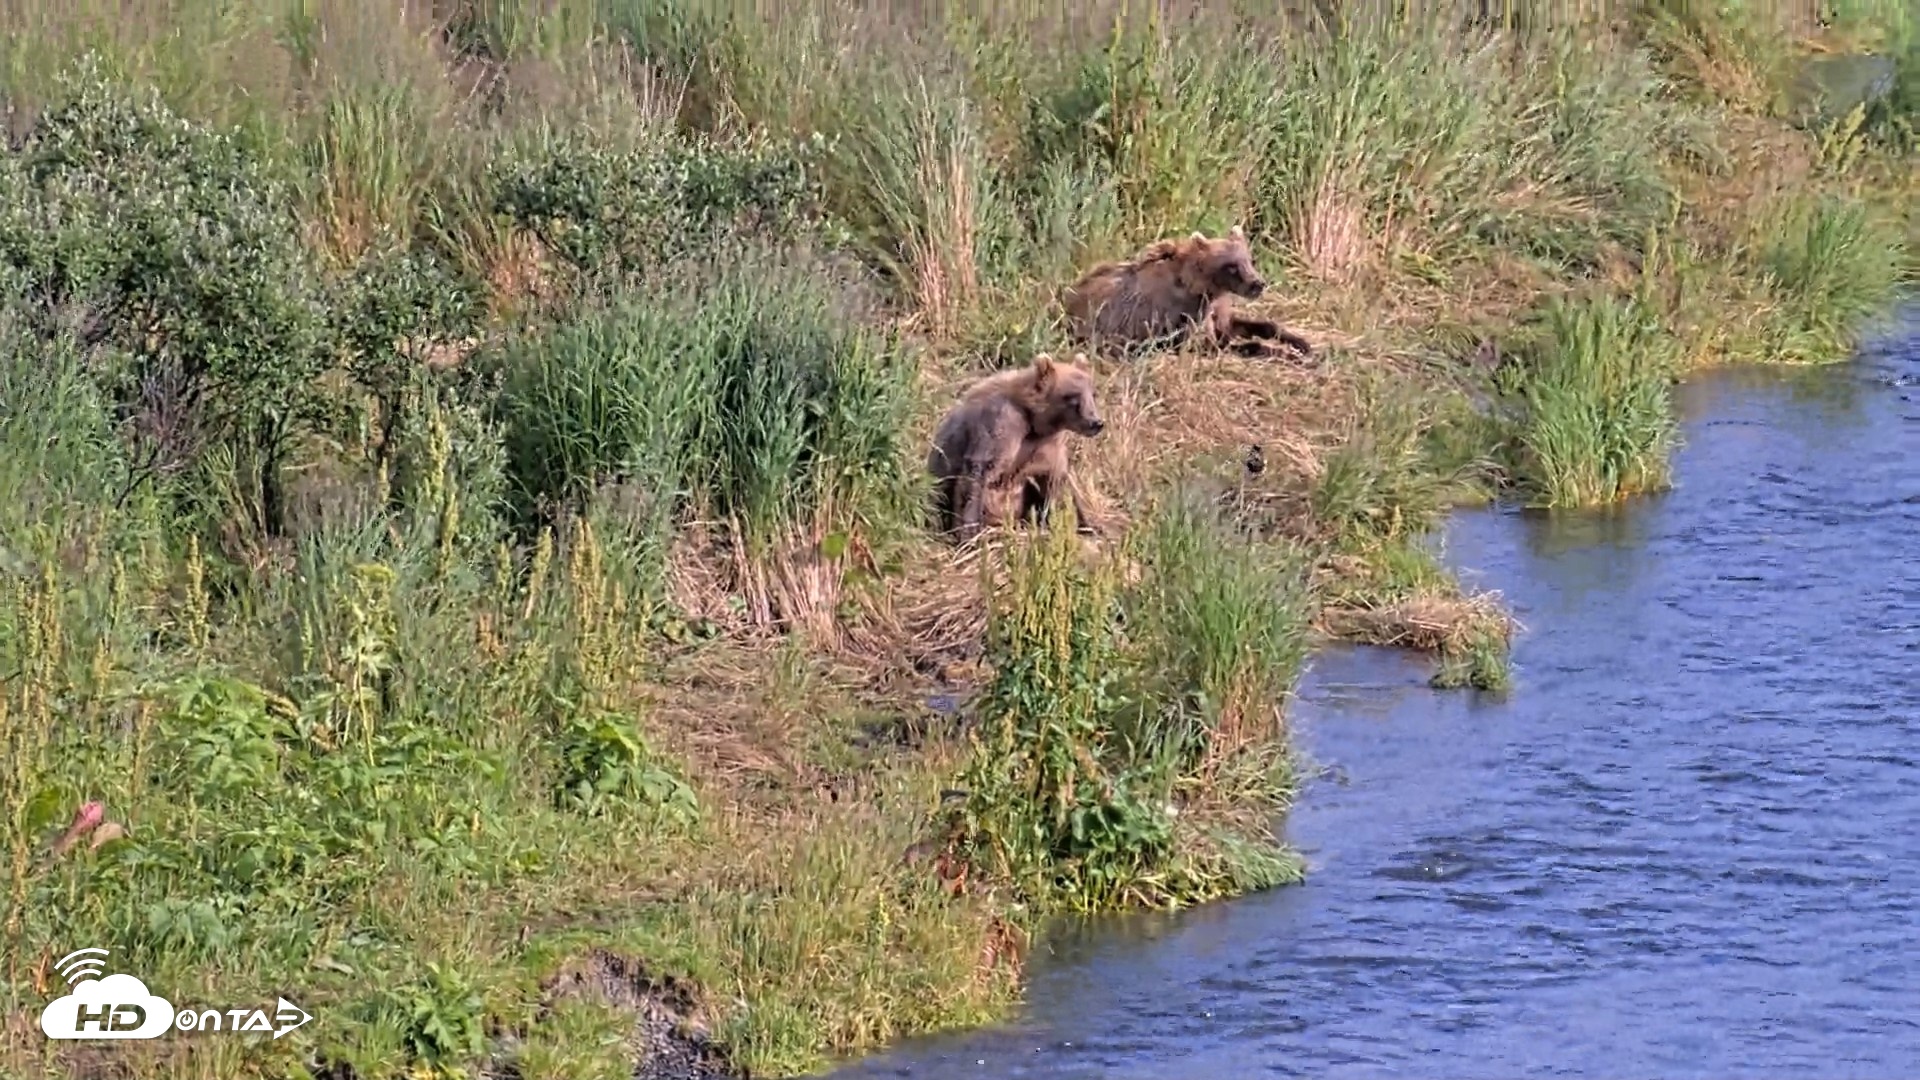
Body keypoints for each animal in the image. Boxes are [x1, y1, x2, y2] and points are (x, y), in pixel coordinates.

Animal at [927, 352, 1105, 544]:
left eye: (1093, 394)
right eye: (1073, 397)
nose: (1096, 422)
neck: (1034, 421)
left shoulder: (1047, 446)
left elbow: (1057, 482)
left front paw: (1087, 526)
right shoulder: (1002, 424)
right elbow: (980, 471)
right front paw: (969, 534)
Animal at [1060, 226, 1312, 360]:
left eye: (1248, 260)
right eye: (1231, 266)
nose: (1256, 284)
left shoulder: (1217, 310)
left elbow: (1244, 326)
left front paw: (1301, 343)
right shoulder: (1183, 320)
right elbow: (1217, 345)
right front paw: (1284, 353)